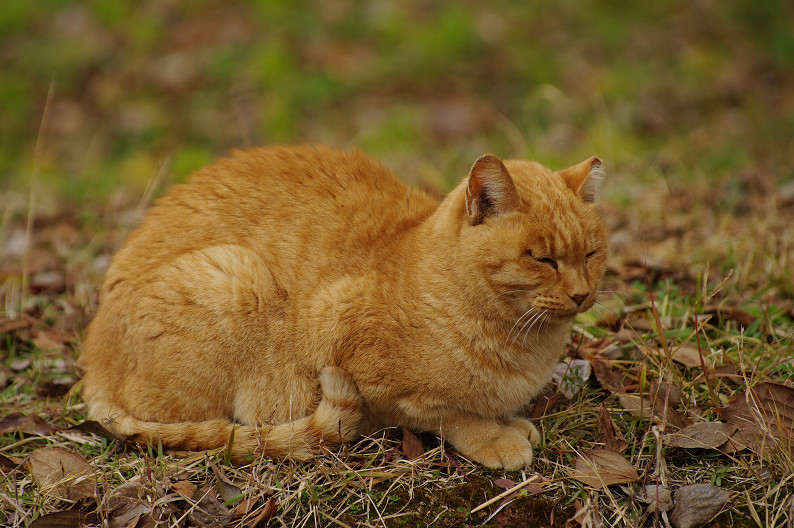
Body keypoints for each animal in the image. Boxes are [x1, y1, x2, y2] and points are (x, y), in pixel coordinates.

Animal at [77, 145, 604, 470]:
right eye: (542, 258)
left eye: (592, 254)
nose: (582, 293)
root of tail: (92, 356)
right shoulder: (357, 360)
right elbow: (449, 415)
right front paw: (495, 437)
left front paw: (510, 422)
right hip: (236, 276)